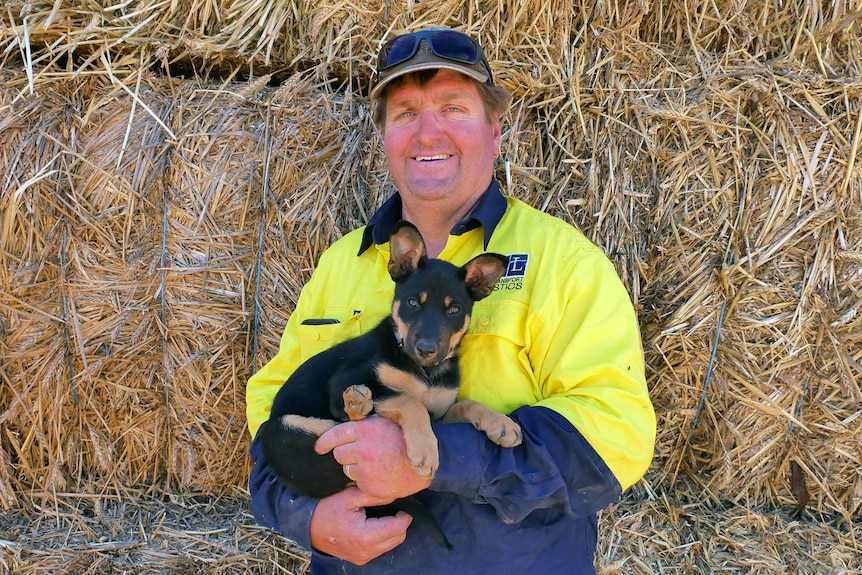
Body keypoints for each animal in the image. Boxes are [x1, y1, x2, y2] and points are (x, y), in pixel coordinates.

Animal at [260, 220, 524, 548]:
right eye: (413, 303)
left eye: (454, 310)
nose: (426, 349)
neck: (425, 372)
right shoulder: (345, 381)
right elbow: (407, 400)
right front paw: (425, 451)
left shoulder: (439, 413)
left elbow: (466, 404)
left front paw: (501, 424)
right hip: (293, 430)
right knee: (352, 423)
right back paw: (358, 404)